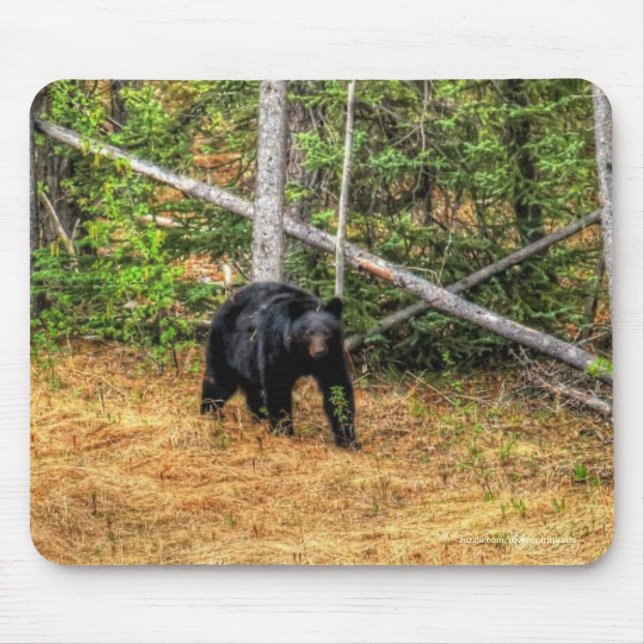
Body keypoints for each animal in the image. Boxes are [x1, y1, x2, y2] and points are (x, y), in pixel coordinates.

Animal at [200, 281, 359, 449]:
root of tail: (226, 302)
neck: (301, 355)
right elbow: (277, 386)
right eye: (309, 333)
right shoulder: (276, 346)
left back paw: (259, 417)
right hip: (225, 345)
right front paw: (284, 431)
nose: (319, 351)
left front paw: (347, 438)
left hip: (249, 361)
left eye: (327, 332)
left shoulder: (332, 356)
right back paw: (209, 412)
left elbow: (337, 386)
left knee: (253, 390)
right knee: (218, 381)